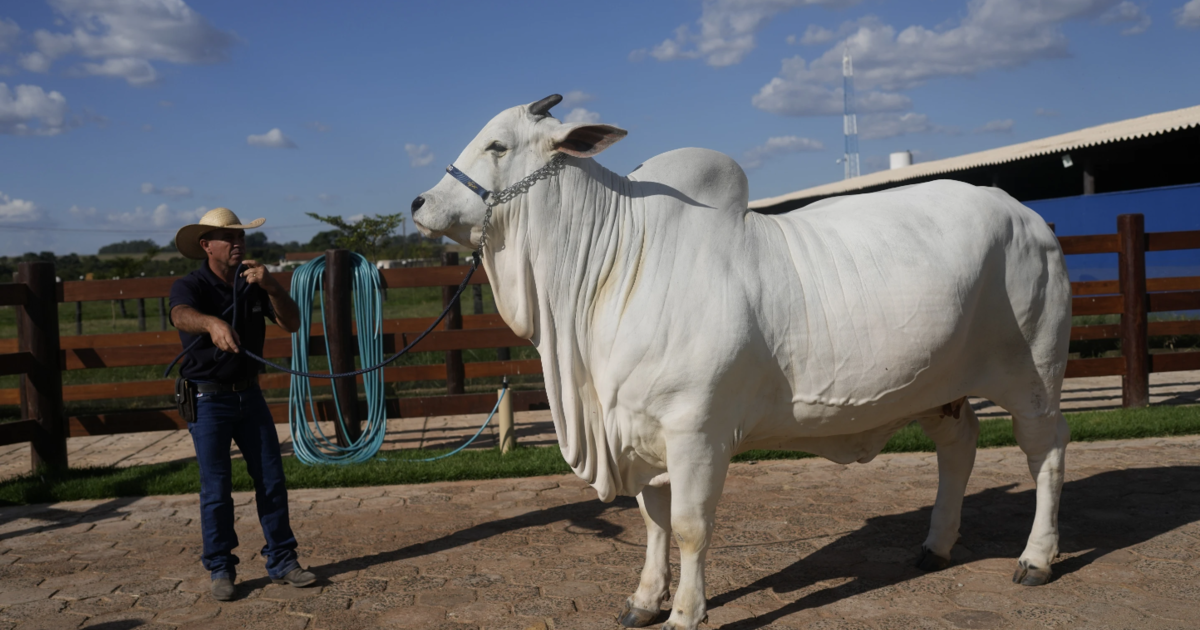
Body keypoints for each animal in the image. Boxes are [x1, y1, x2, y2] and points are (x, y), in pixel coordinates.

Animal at [417, 94, 1075, 628]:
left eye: (497, 144)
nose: (421, 202)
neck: (614, 267)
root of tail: (1028, 214)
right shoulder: (639, 431)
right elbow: (653, 522)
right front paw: (643, 601)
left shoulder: (697, 432)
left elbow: (689, 526)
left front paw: (686, 613)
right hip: (940, 387)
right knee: (959, 445)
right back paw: (937, 545)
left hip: (1032, 376)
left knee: (1045, 451)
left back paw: (1036, 558)